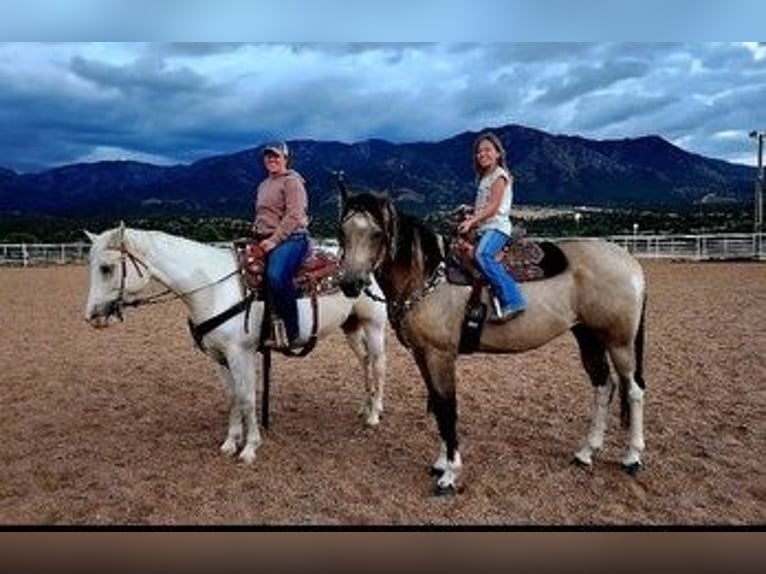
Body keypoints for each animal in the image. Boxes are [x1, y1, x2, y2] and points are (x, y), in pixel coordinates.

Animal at [82, 226, 390, 468]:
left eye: (106, 268)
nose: (91, 316)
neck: (212, 288)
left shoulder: (240, 354)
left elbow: (247, 397)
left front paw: (250, 447)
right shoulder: (219, 357)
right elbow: (231, 396)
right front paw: (231, 442)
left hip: (373, 325)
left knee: (378, 364)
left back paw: (375, 413)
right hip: (350, 326)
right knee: (364, 361)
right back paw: (365, 406)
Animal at [340, 194, 644, 496]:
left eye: (377, 234)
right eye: (343, 232)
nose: (350, 284)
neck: (427, 276)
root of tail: (629, 262)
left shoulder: (440, 355)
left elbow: (447, 408)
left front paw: (450, 475)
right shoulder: (422, 355)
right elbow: (437, 406)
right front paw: (440, 463)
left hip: (619, 343)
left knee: (633, 390)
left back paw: (632, 457)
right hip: (588, 336)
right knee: (604, 386)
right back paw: (586, 453)